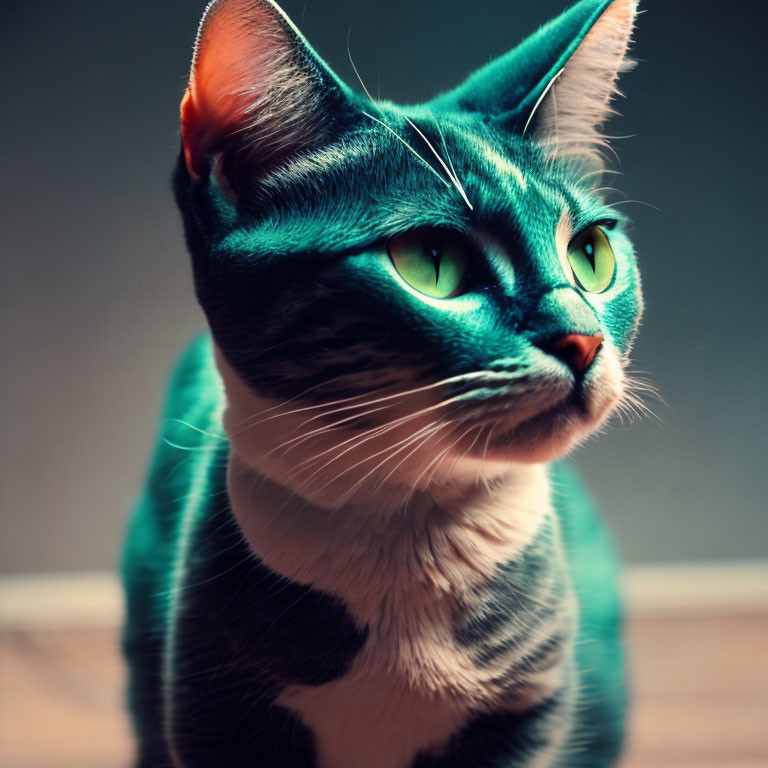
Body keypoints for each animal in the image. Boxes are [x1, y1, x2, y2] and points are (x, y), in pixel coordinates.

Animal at [123, 0, 644, 764]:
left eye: (592, 253)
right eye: (430, 261)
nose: (583, 338)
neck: (411, 528)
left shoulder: (527, 714)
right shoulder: (213, 709)